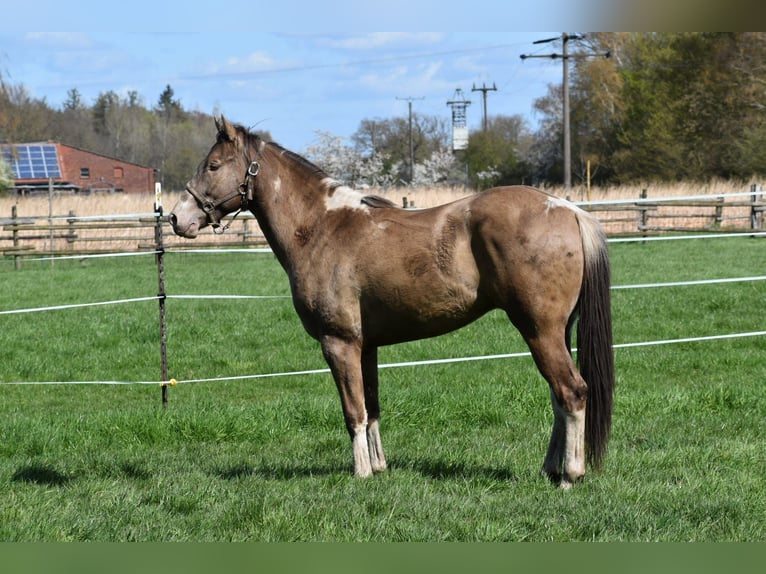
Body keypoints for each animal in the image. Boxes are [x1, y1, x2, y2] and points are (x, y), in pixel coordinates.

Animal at [169, 116, 614, 488]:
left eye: (213, 166)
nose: (176, 218)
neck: (322, 228)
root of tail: (569, 210)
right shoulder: (366, 347)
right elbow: (372, 407)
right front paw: (380, 467)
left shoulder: (339, 343)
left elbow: (353, 411)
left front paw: (361, 473)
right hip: (555, 332)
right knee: (558, 397)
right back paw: (550, 469)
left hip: (539, 331)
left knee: (572, 392)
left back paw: (570, 475)